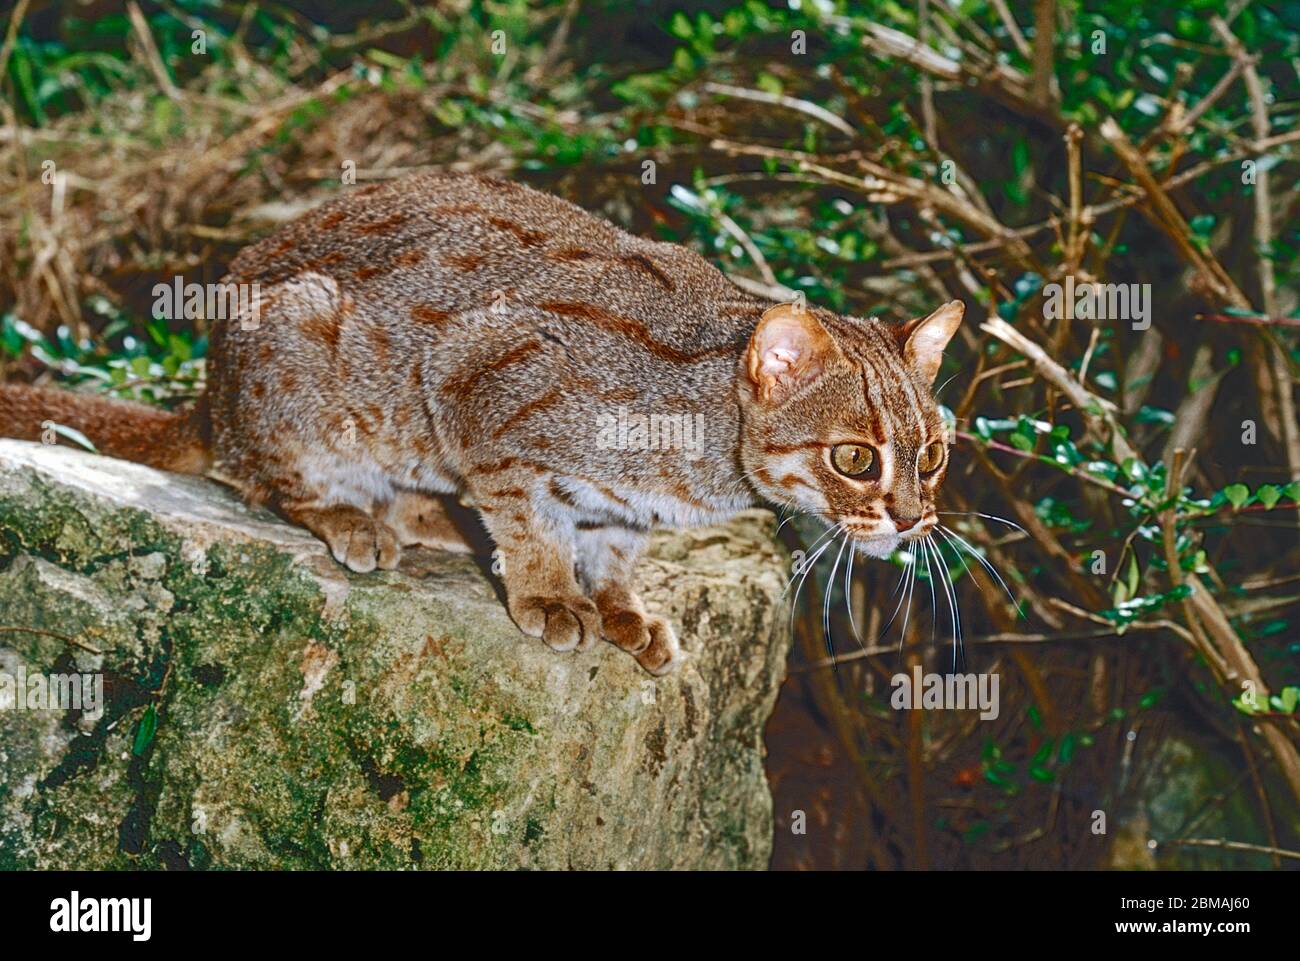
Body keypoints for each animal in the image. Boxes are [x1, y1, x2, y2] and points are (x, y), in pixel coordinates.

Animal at [0, 176, 961, 681]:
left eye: (933, 454)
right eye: (855, 457)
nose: (916, 519)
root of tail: (207, 393)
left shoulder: (620, 508)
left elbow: (614, 548)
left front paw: (620, 604)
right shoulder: (481, 380)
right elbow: (530, 518)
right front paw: (549, 593)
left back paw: (431, 515)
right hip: (305, 358)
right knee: (261, 473)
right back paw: (356, 516)